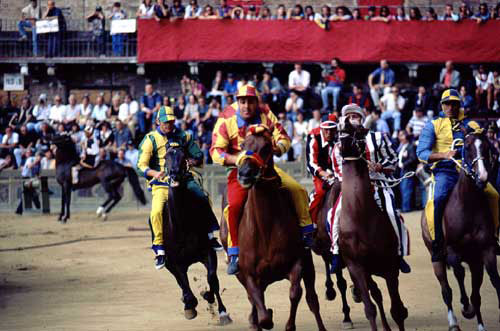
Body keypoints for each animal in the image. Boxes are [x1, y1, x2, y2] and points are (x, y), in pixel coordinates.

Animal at [161, 146, 231, 326]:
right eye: (166, 157)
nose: (174, 174)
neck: (182, 227)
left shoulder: (208, 252)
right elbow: (185, 285)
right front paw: (189, 306)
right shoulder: (176, 262)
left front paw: (221, 311)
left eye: (183, 157)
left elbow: (212, 279)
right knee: (180, 283)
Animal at [221, 127, 326, 331]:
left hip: (308, 263)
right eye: (243, 145)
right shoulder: (248, 274)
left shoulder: (297, 261)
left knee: (312, 299)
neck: (265, 229)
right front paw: (262, 317)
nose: (245, 173)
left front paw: (288, 325)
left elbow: (295, 293)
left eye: (266, 147)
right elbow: (260, 310)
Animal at [312, 180, 356, 330]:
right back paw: (329, 290)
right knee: (327, 264)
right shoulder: (332, 252)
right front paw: (347, 318)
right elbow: (341, 283)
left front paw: (356, 292)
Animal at [338, 120, 408, 331]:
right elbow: (370, 308)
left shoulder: (390, 266)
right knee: (375, 294)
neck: (360, 217)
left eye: (358, 130)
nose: (343, 147)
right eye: (340, 131)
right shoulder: (357, 267)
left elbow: (398, 310)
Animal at [422, 131, 500, 330]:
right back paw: (453, 322)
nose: (482, 175)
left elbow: (492, 279)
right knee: (446, 290)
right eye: (467, 147)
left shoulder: (485, 251)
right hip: (437, 259)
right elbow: (458, 273)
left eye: (487, 147)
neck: (468, 205)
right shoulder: (452, 251)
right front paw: (466, 307)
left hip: (473, 260)